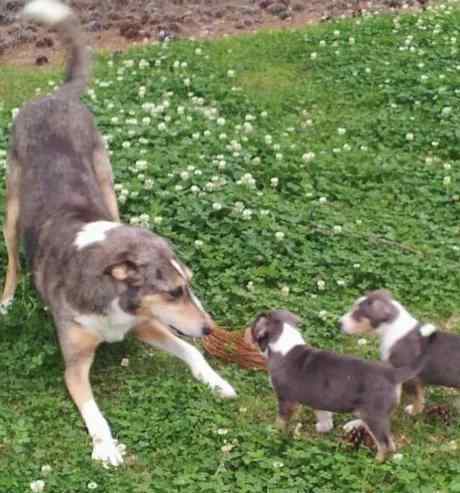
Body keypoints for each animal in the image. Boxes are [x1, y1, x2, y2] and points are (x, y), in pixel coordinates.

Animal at [3, 0, 237, 466]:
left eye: (188, 286)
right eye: (173, 292)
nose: (209, 328)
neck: (113, 295)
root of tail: (55, 96)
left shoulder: (146, 324)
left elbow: (189, 351)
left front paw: (216, 380)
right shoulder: (74, 363)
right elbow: (93, 410)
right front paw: (106, 446)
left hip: (107, 183)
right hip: (12, 205)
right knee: (11, 260)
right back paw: (6, 299)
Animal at [246, 310, 434, 460]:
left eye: (254, 325)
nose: (245, 332)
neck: (285, 344)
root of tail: (392, 374)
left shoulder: (286, 400)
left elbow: (280, 421)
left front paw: (273, 434)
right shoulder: (319, 399)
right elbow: (324, 416)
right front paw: (323, 428)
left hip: (374, 414)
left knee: (386, 445)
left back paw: (374, 462)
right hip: (374, 412)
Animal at [340, 288, 460, 418]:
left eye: (358, 313)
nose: (338, 323)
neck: (391, 329)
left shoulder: (410, 376)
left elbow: (418, 397)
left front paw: (413, 411)